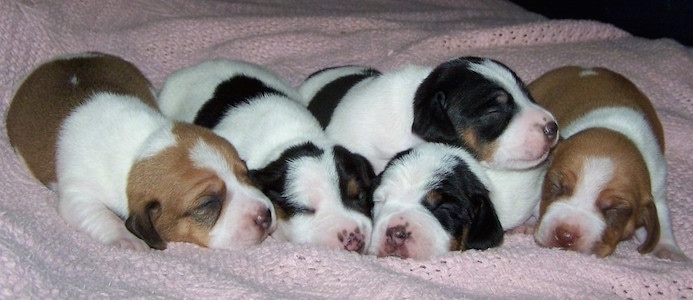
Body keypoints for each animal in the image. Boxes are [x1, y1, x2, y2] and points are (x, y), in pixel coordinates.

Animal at [6, 52, 276, 251]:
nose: (266, 215)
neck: (142, 145)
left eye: (246, 173)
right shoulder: (78, 196)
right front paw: (127, 240)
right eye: (208, 203)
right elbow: (99, 216)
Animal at [528, 65, 688, 260]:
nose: (566, 235)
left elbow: (662, 219)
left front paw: (668, 250)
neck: (615, 130)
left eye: (614, 209)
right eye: (557, 186)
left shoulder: (657, 187)